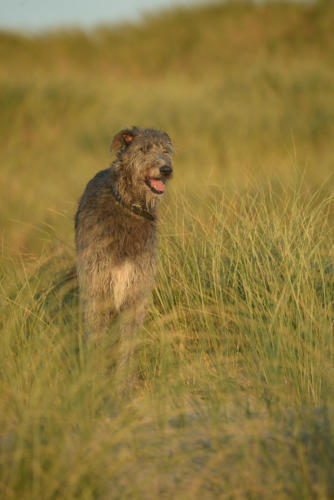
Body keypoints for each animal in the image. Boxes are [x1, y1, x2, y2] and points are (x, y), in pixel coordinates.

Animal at [74, 127, 174, 350]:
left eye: (166, 150)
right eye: (144, 149)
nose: (166, 170)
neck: (128, 205)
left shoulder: (135, 290)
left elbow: (127, 344)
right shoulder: (97, 287)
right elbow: (95, 337)